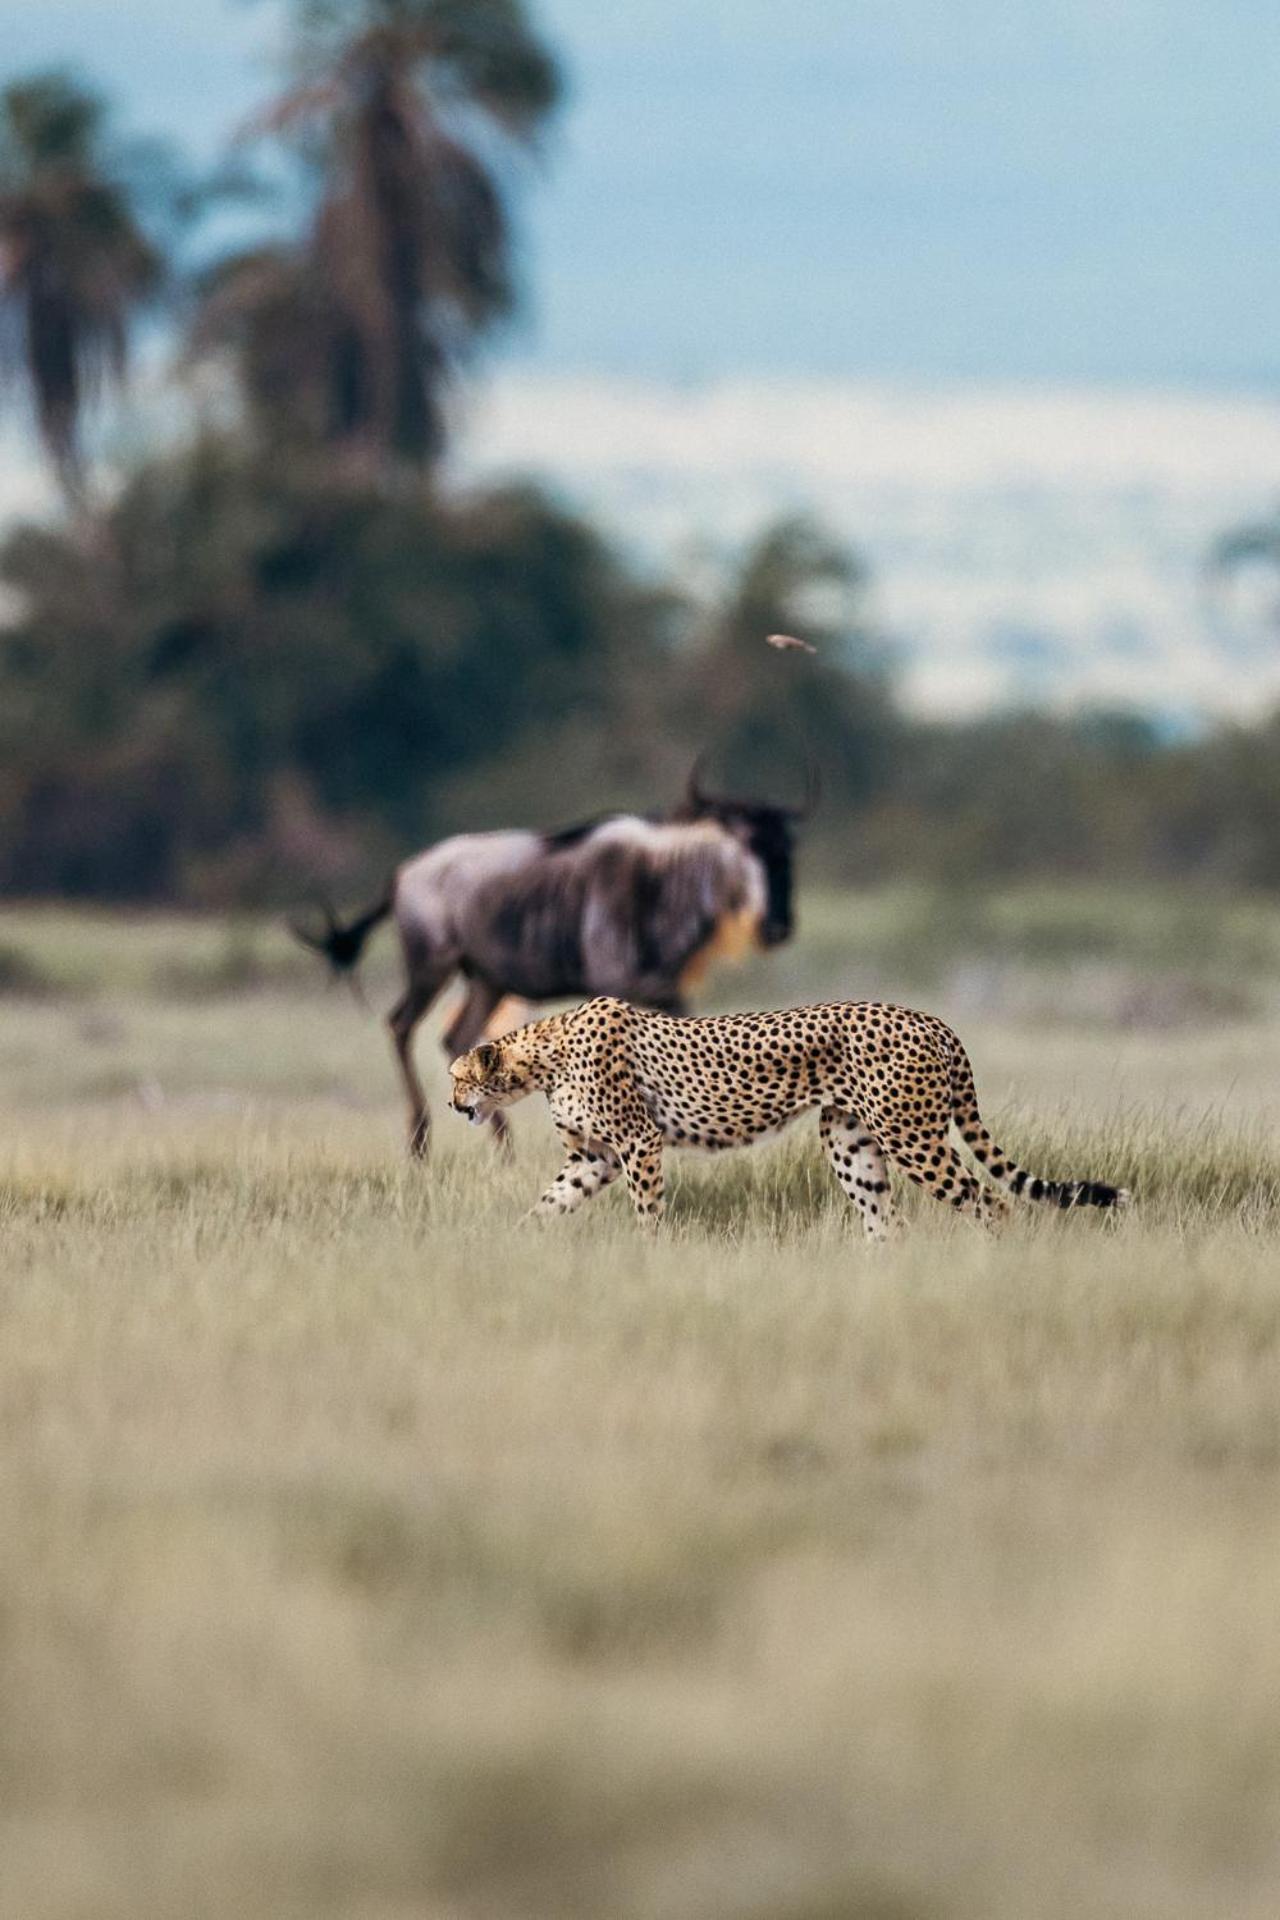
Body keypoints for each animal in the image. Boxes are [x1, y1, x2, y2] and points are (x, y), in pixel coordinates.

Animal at [450, 998, 1128, 1236]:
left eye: (457, 1077)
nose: (455, 1105)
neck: (542, 1055)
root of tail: (931, 1018)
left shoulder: (639, 1143)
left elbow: (648, 1214)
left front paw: (648, 1258)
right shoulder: (595, 1157)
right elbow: (548, 1203)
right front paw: (513, 1246)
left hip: (911, 1136)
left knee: (993, 1201)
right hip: (849, 1139)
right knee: (885, 1222)